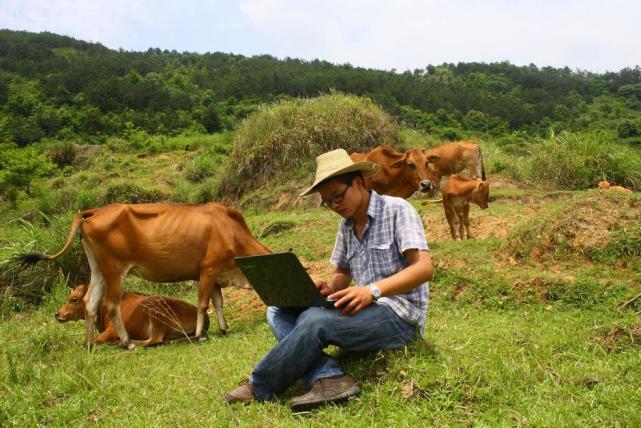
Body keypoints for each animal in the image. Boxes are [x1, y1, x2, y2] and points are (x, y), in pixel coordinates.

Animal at [55, 284, 209, 348]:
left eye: (74, 299)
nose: (57, 314)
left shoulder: (112, 331)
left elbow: (95, 340)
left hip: (156, 316)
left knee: (154, 340)